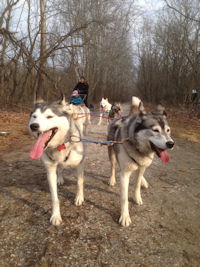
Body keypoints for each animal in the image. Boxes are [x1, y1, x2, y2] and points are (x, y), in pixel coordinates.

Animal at [27, 96, 85, 226]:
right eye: (34, 116)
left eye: (49, 116)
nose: (33, 126)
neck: (60, 146)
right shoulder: (50, 171)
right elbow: (55, 198)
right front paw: (55, 215)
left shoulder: (79, 165)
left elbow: (79, 182)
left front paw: (79, 197)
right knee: (60, 169)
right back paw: (60, 178)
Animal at [107, 97, 174, 227]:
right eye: (155, 130)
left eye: (168, 130)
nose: (171, 144)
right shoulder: (124, 174)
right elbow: (124, 198)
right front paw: (125, 216)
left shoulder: (142, 167)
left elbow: (137, 184)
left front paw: (137, 197)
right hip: (111, 153)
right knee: (112, 167)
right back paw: (112, 179)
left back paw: (144, 181)